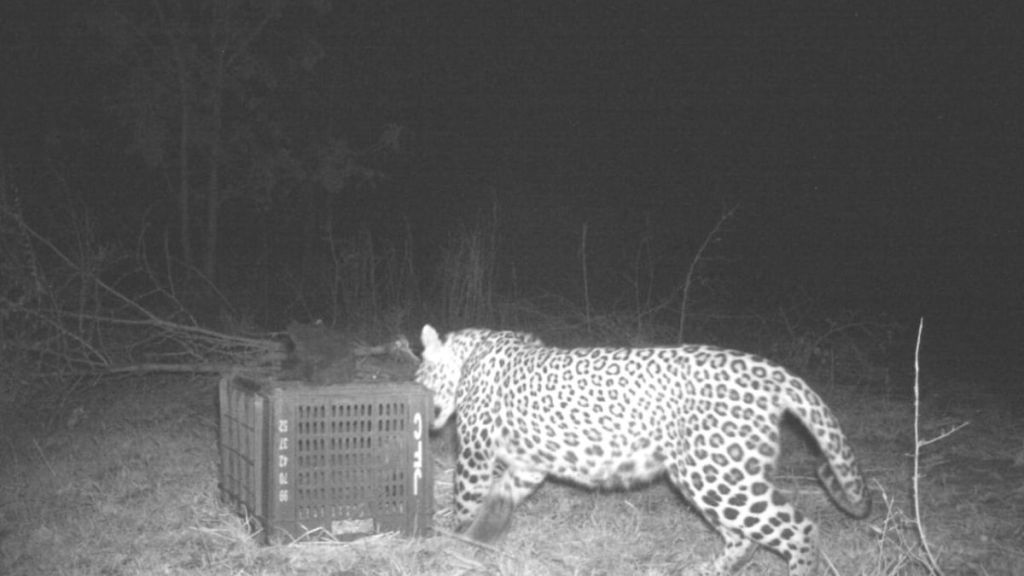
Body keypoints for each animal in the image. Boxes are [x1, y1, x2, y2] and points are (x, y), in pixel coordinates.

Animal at [415, 323, 872, 573]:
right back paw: (703, 570)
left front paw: (453, 542)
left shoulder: (475, 452)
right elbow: (499, 498)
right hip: (709, 477)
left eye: (419, 376)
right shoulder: (528, 465)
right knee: (744, 539)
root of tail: (774, 372)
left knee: (799, 529)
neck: (470, 353)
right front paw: (480, 540)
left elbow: (466, 498)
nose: (418, 392)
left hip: (719, 475)